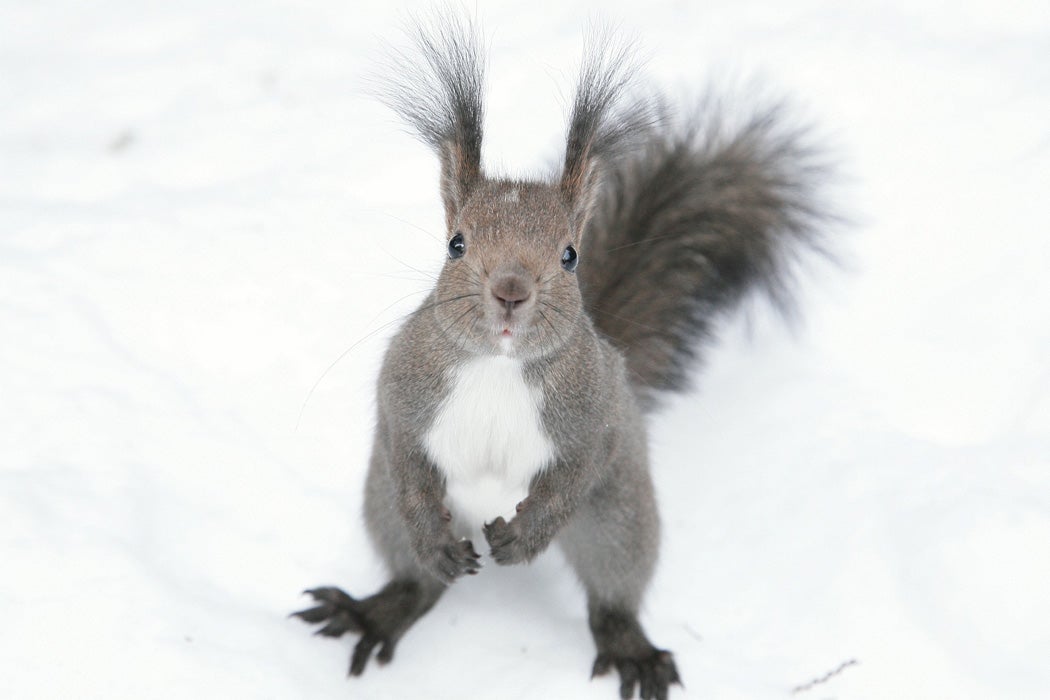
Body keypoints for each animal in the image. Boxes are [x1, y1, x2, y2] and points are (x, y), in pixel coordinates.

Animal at [294, 12, 827, 700]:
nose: (511, 290)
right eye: (456, 243)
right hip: (378, 502)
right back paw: (382, 606)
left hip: (620, 517)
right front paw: (432, 540)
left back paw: (630, 647)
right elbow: (405, 453)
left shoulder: (597, 415)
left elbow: (577, 472)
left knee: (612, 591)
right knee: (417, 578)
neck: (498, 367)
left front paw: (521, 541)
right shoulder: (403, 389)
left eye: (570, 255)